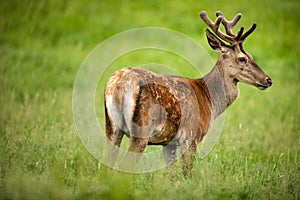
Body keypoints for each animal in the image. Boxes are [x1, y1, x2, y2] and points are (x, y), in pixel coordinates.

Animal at [103, 10, 272, 176]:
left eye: (251, 56)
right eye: (242, 59)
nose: (268, 80)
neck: (209, 100)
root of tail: (119, 84)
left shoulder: (169, 143)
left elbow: (171, 175)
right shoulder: (191, 136)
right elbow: (186, 173)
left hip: (112, 127)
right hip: (141, 130)